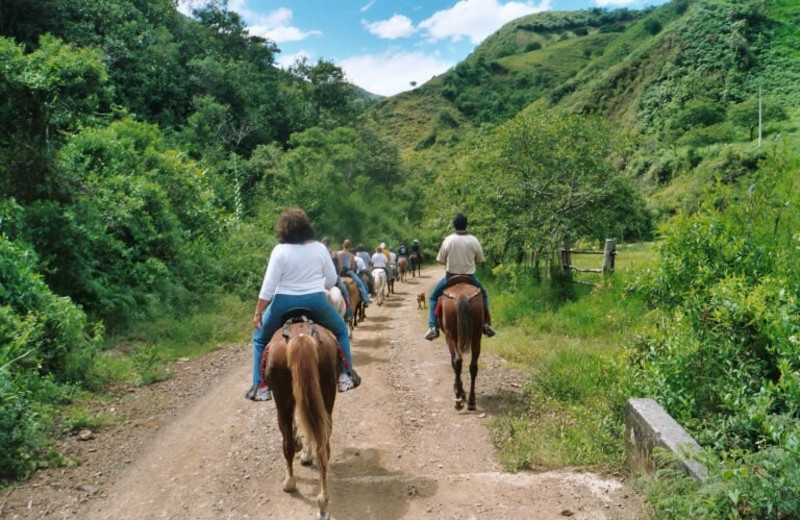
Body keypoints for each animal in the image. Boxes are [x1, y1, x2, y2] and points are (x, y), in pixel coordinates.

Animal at [262, 314, 338, 516]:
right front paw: (305, 452)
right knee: (323, 446)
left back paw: (290, 482)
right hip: (325, 397)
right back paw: (323, 499)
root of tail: (301, 336)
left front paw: (301, 448)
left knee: (287, 443)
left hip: (283, 404)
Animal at [438, 276, 482, 410]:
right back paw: (472, 401)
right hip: (477, 335)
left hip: (450, 335)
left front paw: (459, 389)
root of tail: (462, 296)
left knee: (457, 361)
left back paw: (458, 399)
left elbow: (454, 362)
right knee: (473, 366)